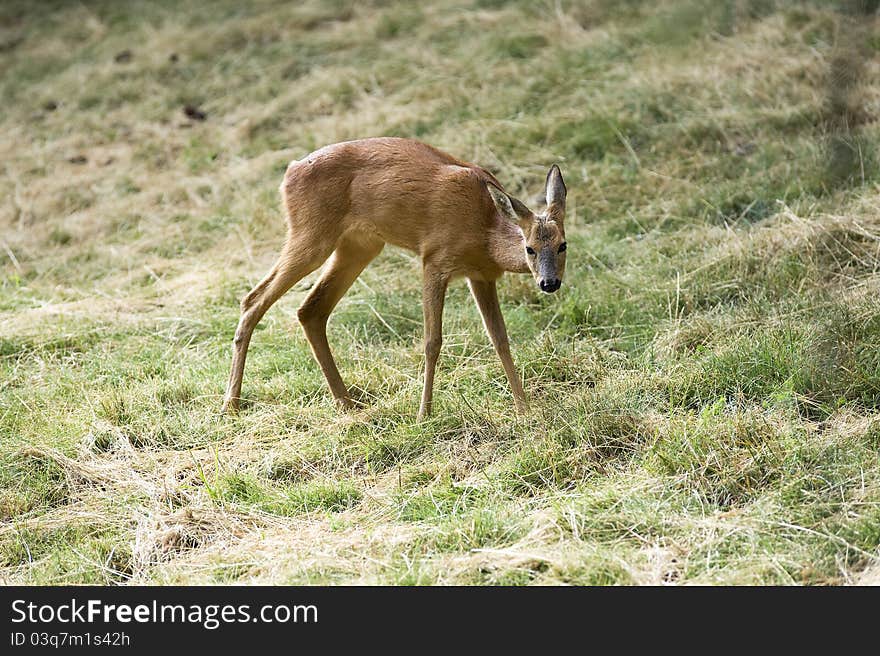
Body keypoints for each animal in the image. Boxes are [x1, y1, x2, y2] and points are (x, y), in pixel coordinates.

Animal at [223, 138, 568, 420]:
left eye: (563, 245)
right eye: (530, 248)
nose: (549, 283)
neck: (485, 232)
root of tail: (289, 172)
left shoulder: (481, 276)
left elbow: (500, 338)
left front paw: (524, 408)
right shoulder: (435, 260)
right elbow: (432, 341)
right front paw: (423, 414)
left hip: (358, 246)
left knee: (310, 309)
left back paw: (346, 402)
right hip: (310, 235)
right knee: (253, 299)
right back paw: (231, 404)